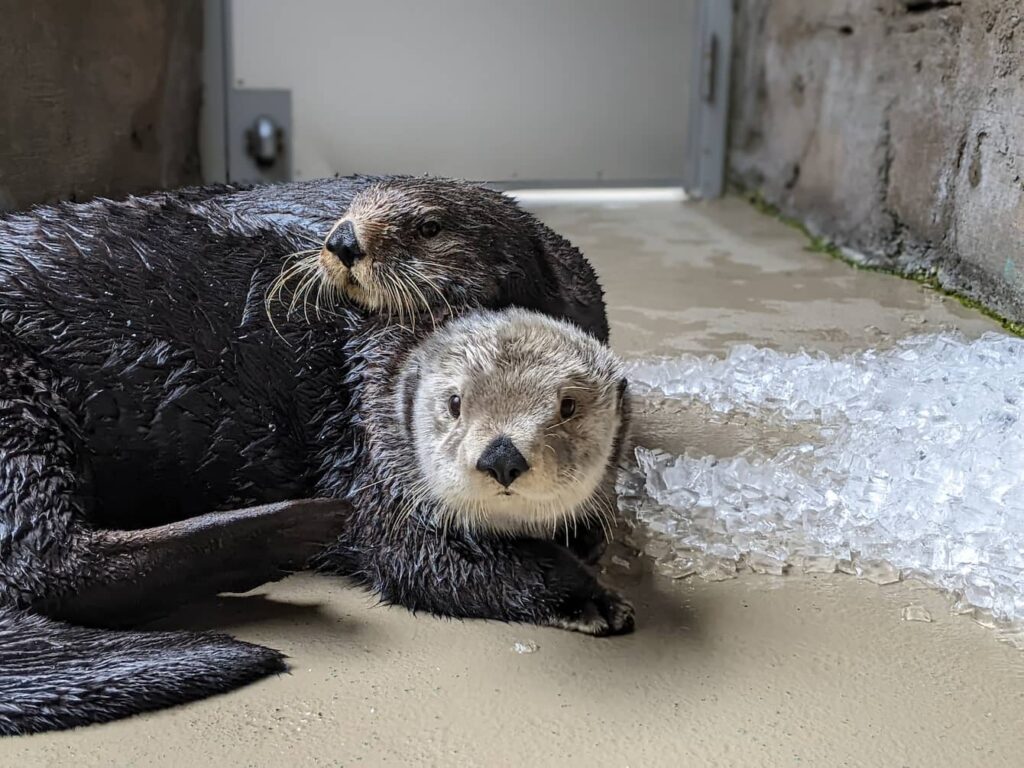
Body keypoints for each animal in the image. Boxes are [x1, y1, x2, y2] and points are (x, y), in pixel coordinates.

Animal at [0, 176, 613, 734]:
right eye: (452, 402)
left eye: (429, 228)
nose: (343, 240)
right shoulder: (376, 433)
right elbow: (412, 550)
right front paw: (589, 599)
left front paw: (586, 533)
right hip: (17, 394)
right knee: (44, 559)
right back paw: (299, 526)